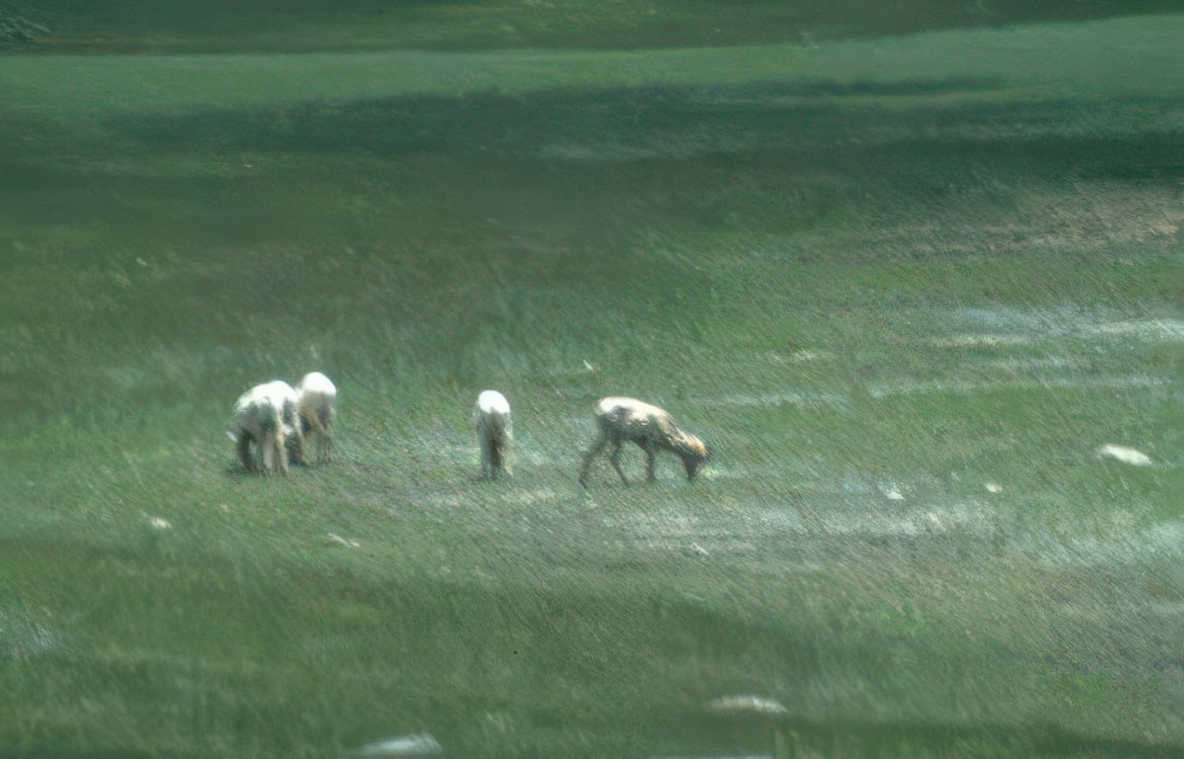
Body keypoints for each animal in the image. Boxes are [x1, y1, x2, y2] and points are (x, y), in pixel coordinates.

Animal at [578, 396, 710, 487]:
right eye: (696, 458)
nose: (692, 477)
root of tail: (598, 409)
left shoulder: (643, 443)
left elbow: (649, 459)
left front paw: (650, 478)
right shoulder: (650, 441)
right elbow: (652, 459)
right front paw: (651, 479)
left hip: (607, 436)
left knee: (590, 453)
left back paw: (583, 481)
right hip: (616, 437)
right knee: (613, 458)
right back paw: (627, 482)